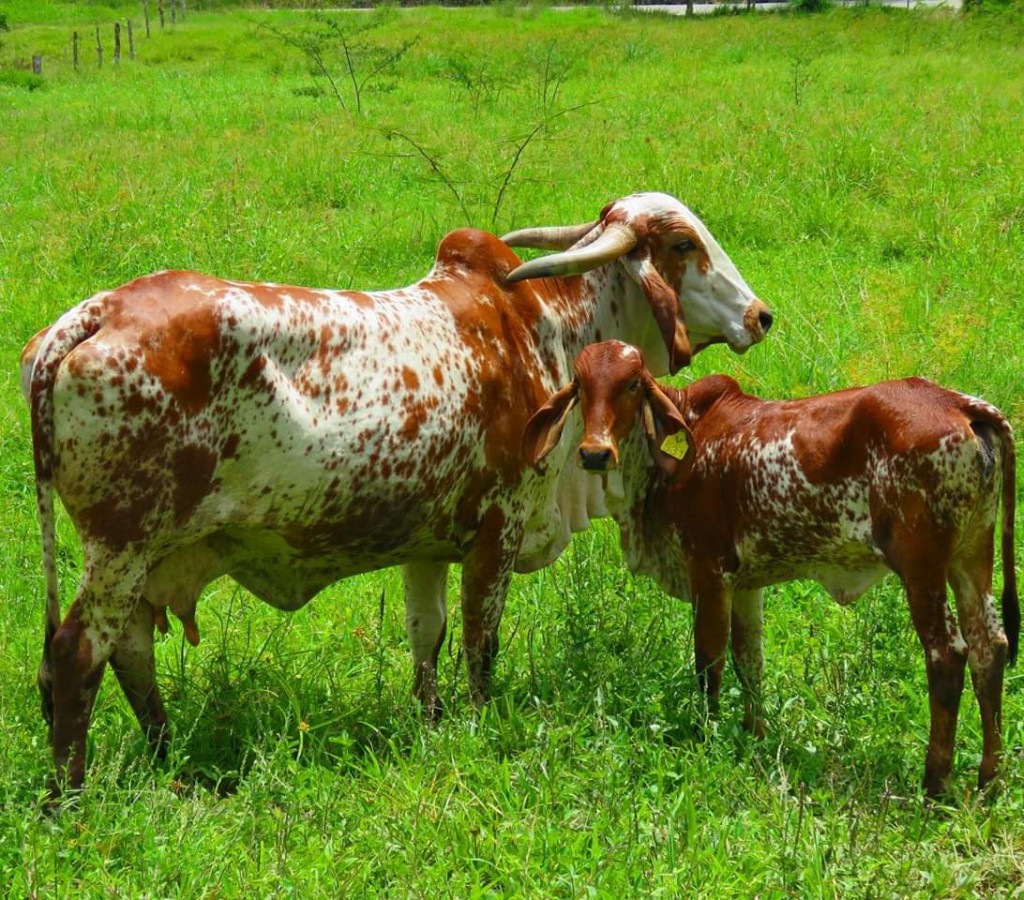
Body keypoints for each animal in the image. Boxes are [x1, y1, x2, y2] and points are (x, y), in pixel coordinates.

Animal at [21, 193, 772, 796]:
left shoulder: (428, 544)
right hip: (121, 547)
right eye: (684, 245)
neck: (543, 329)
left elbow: (427, 635)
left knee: (129, 651)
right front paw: (477, 722)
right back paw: (71, 795)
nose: (760, 316)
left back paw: (166, 756)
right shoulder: (496, 531)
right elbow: (479, 641)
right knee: (77, 654)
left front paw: (431, 722)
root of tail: (93, 315)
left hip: (142, 561)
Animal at [523, 340, 1019, 796]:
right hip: (972, 555)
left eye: (631, 385)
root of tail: (960, 404)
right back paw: (988, 781)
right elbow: (749, 661)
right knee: (989, 647)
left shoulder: (709, 570)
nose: (594, 453)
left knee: (947, 655)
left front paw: (706, 734)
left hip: (922, 567)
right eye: (581, 386)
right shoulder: (747, 583)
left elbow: (709, 660)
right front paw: (754, 733)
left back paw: (933, 785)